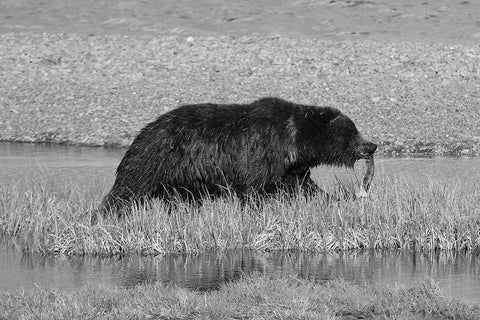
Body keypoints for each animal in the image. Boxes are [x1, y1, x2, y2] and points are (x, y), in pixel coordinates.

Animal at [101, 97, 376, 212]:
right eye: (352, 131)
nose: (371, 146)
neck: (293, 142)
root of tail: (144, 130)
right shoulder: (259, 152)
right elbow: (252, 189)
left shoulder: (288, 168)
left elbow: (302, 186)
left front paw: (331, 199)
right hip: (154, 160)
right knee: (129, 188)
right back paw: (108, 213)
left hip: (180, 179)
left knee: (181, 200)